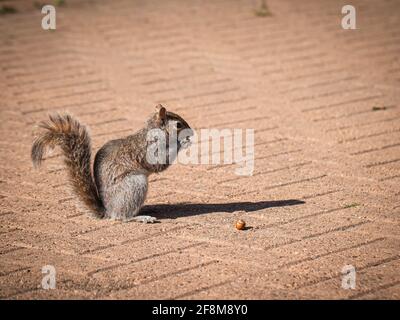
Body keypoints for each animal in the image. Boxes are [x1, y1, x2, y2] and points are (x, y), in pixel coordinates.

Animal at [30, 105, 192, 222]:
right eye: (178, 125)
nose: (192, 133)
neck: (156, 132)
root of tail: (108, 211)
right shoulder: (149, 150)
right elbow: (159, 163)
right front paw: (182, 142)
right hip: (135, 184)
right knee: (122, 217)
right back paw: (140, 217)